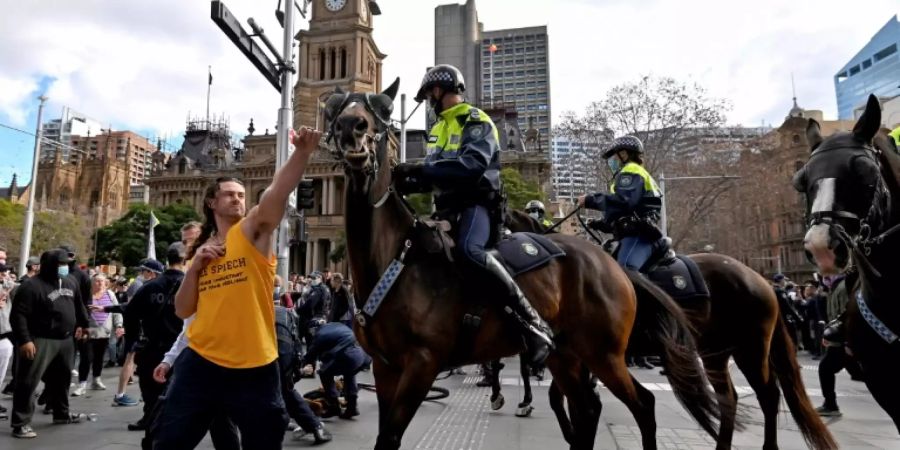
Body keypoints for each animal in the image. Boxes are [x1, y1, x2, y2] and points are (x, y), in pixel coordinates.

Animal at [326, 81, 720, 450]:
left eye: (384, 109)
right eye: (333, 108)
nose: (351, 128)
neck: (396, 258)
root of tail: (613, 265)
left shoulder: (422, 364)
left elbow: (390, 437)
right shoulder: (385, 368)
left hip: (604, 353)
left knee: (643, 403)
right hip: (568, 355)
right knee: (588, 408)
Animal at [506, 211, 836, 450]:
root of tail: (760, 280)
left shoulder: (591, 355)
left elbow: (571, 399)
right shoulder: (580, 356)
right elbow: (559, 398)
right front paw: (568, 430)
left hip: (750, 349)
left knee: (768, 395)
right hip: (715, 352)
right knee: (729, 397)